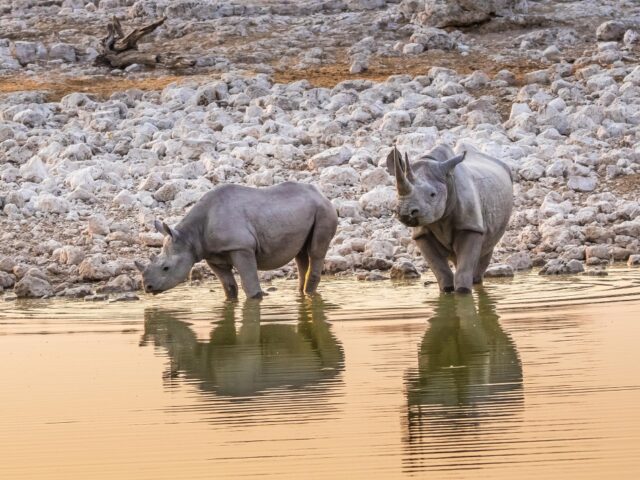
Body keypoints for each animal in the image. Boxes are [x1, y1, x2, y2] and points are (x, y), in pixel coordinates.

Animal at [136, 182, 340, 298]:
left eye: (166, 268)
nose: (147, 287)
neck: (189, 237)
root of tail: (322, 194)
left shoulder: (241, 247)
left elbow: (249, 284)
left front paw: (256, 297)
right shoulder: (211, 254)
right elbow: (229, 287)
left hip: (324, 211)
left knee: (315, 252)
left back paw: (309, 294)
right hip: (303, 212)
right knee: (301, 255)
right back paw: (302, 292)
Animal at [384, 143, 516, 292]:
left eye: (433, 194)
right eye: (396, 193)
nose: (405, 212)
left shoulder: (470, 226)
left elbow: (463, 270)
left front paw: (463, 292)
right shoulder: (421, 233)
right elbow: (441, 271)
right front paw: (447, 290)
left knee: (487, 247)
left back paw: (476, 282)